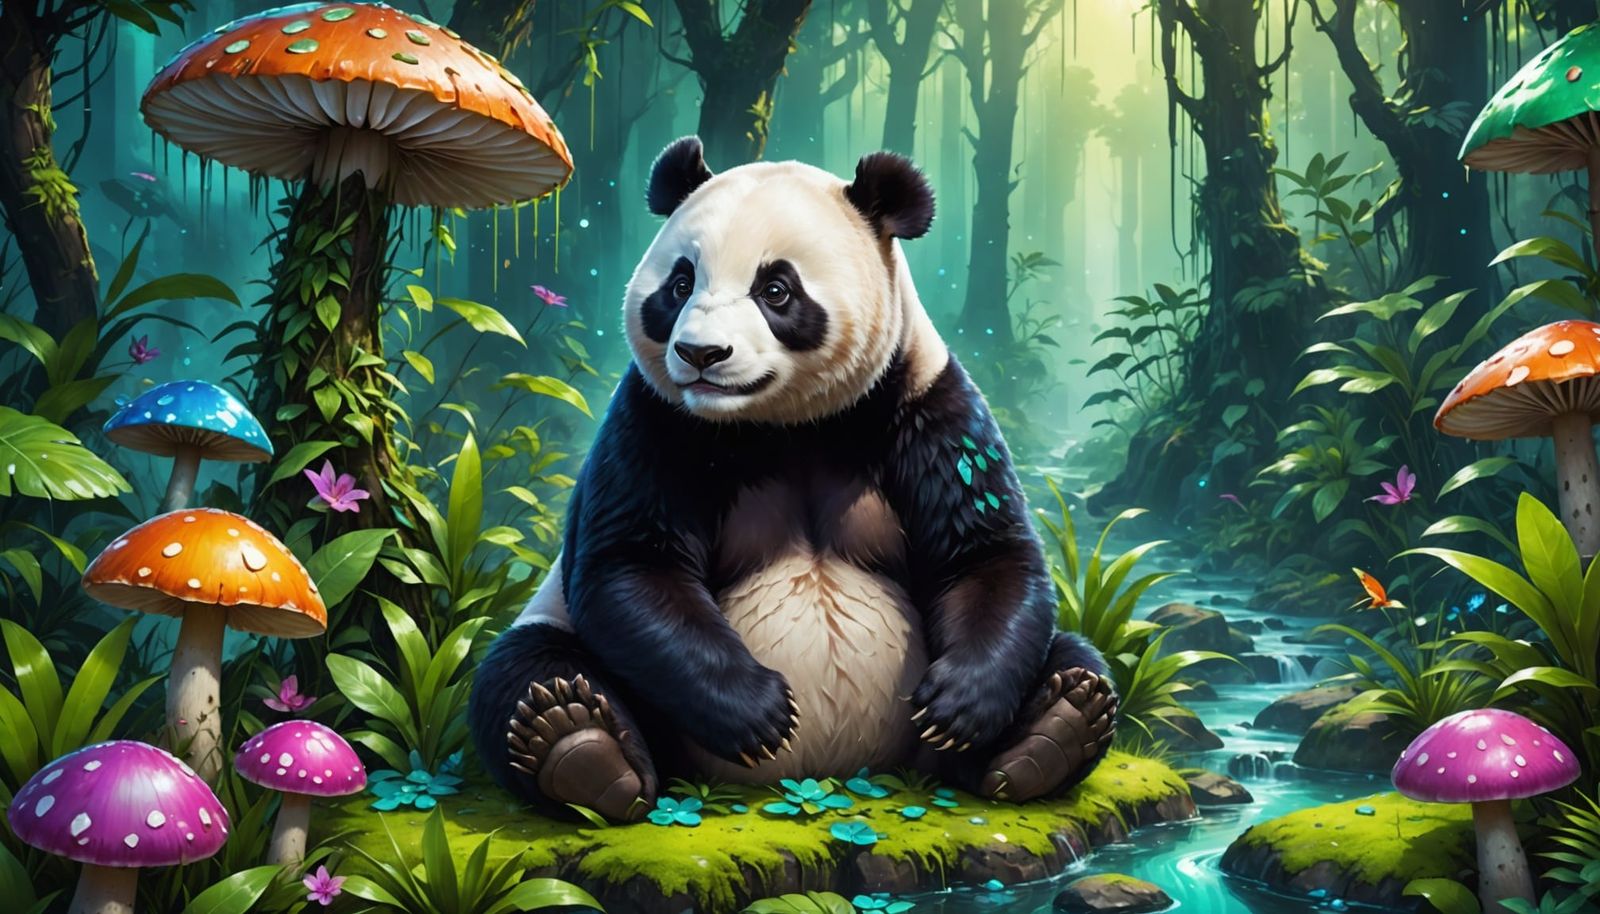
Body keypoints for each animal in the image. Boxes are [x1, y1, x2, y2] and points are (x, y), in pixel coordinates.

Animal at [469, 137, 1117, 822]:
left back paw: (1053, 730)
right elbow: (633, 563)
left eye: (776, 289)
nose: (700, 354)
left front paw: (955, 707)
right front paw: (758, 712)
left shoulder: (926, 406)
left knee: (1071, 656)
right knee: (523, 670)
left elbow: (984, 555)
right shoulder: (655, 421)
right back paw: (578, 745)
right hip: (565, 634)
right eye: (680, 283)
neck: (787, 424)